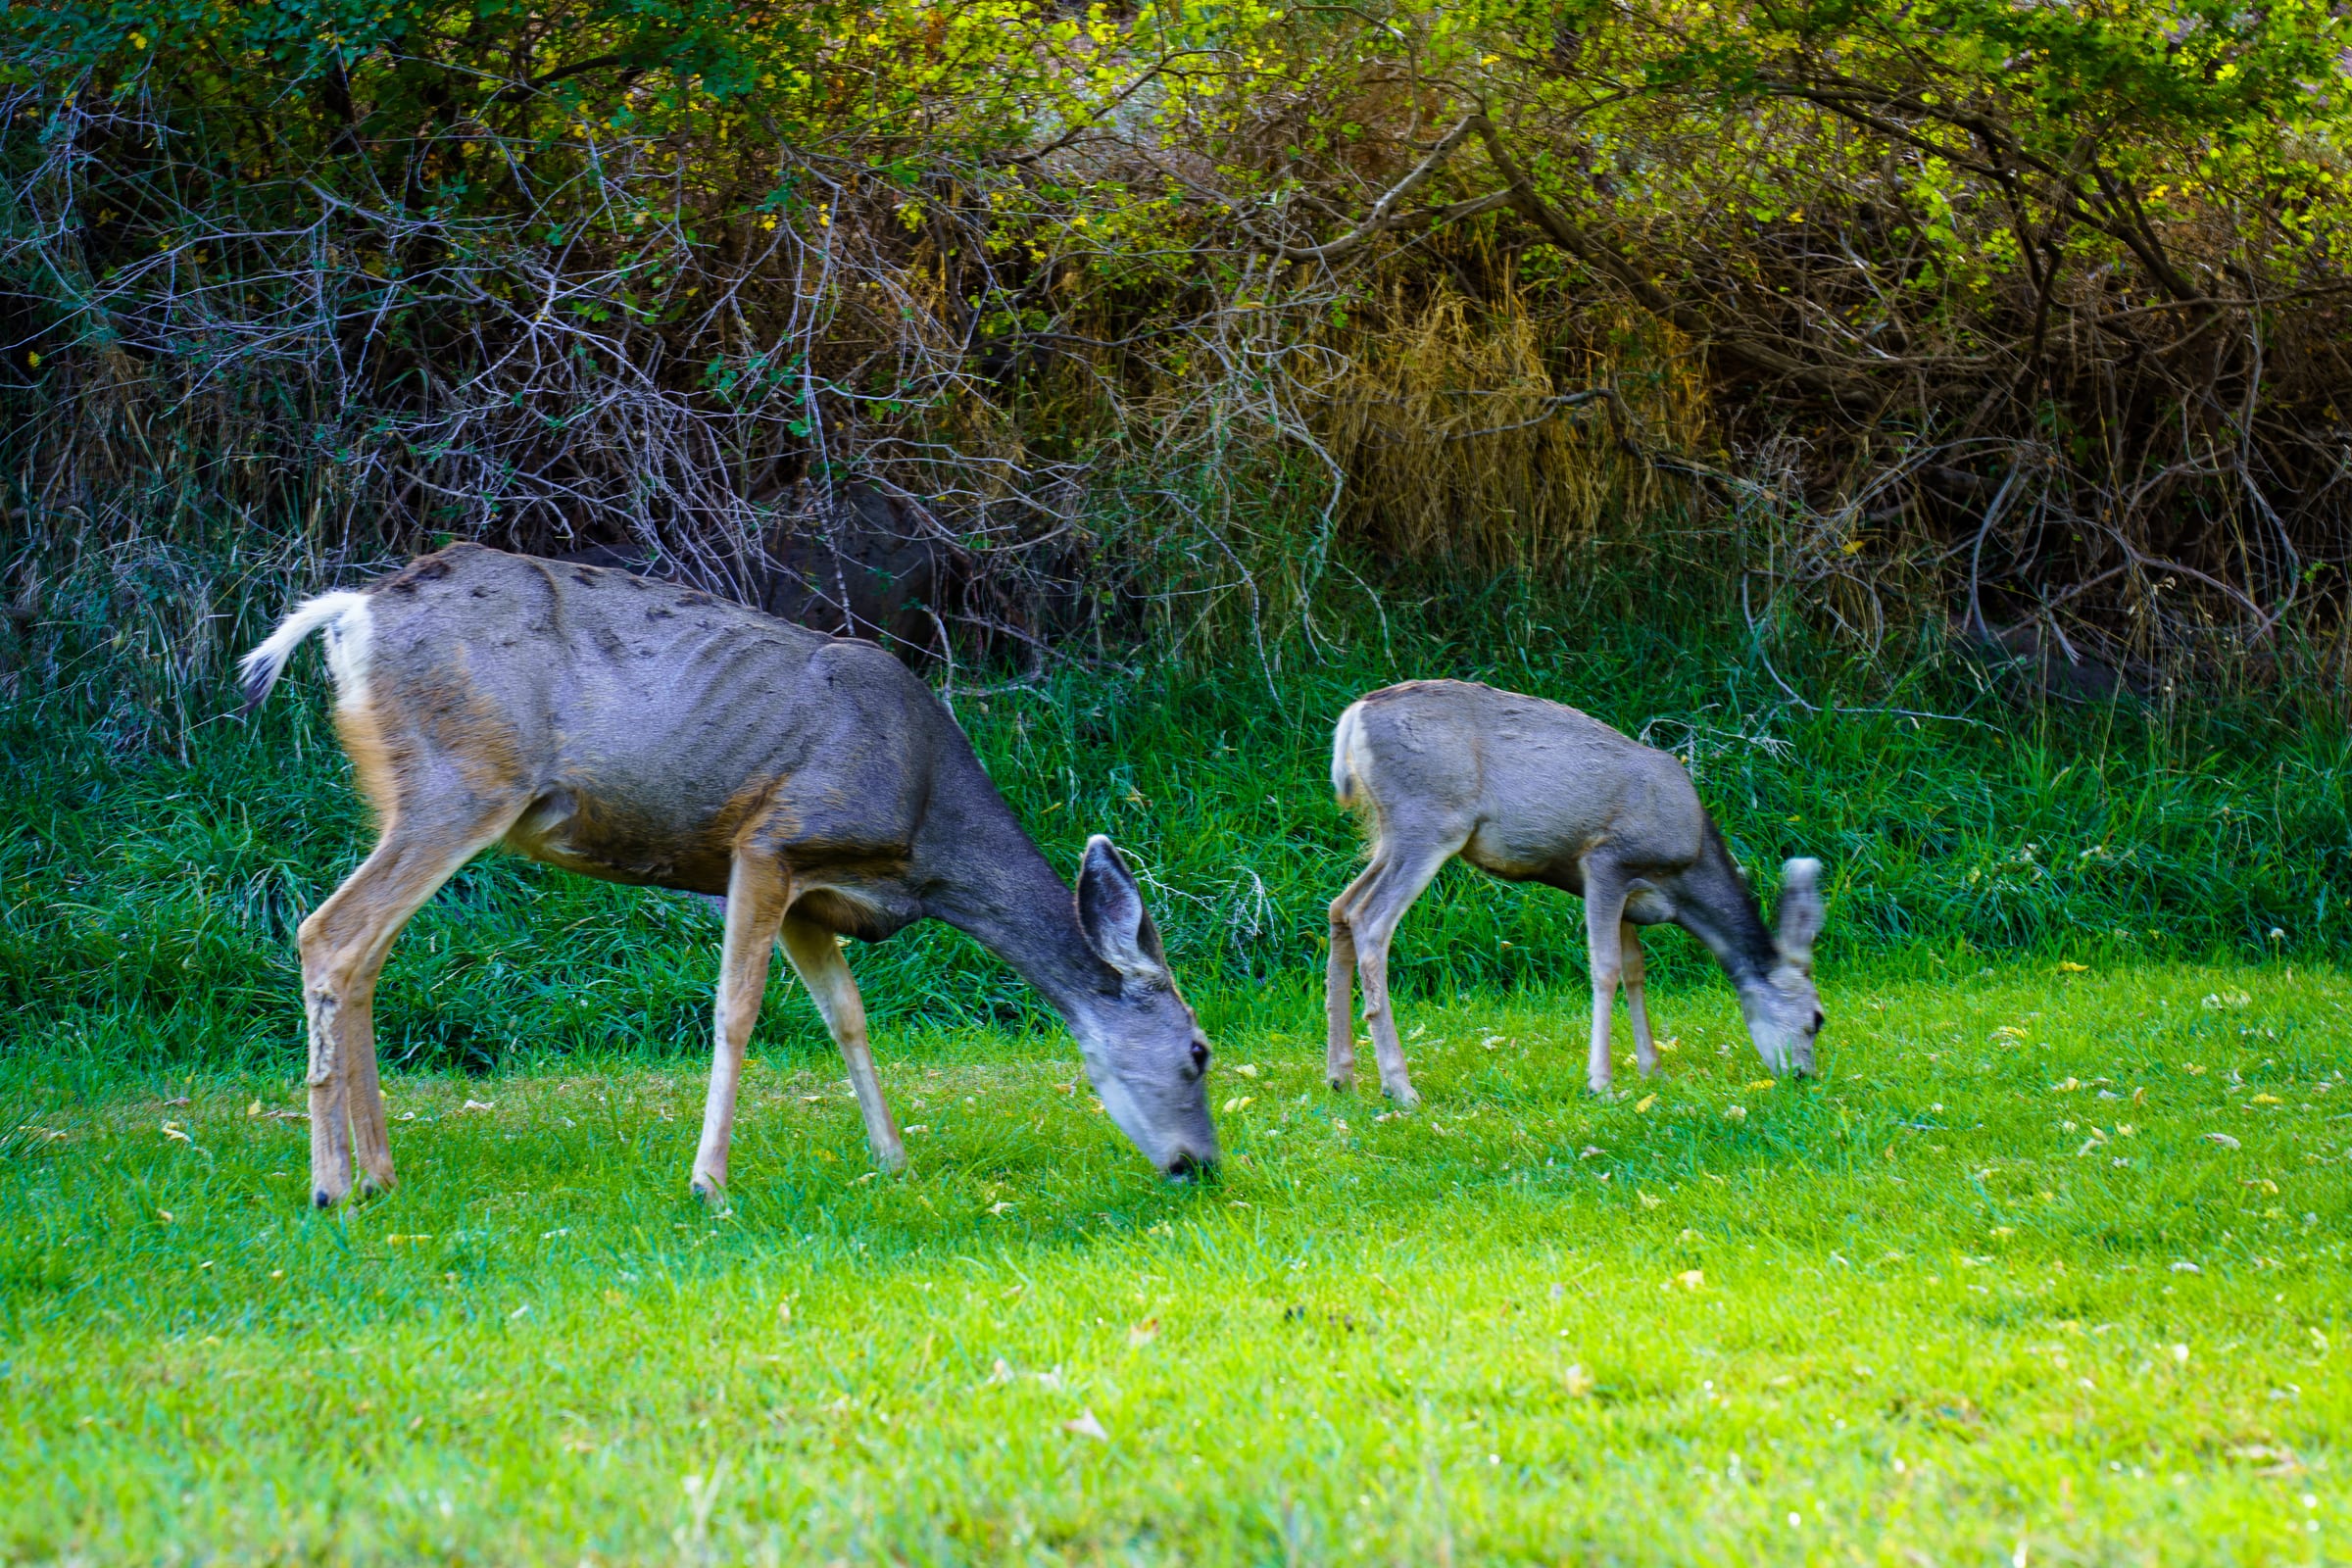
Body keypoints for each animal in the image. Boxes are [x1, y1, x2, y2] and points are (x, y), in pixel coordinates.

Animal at [237, 543, 1218, 1209]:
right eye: (1201, 1051)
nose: (1204, 1166)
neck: (924, 839)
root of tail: (350, 614)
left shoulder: (813, 894)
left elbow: (848, 1017)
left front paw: (893, 1160)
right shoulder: (770, 839)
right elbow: (736, 1010)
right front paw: (708, 1180)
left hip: (402, 795)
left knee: (364, 954)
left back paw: (380, 1174)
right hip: (464, 781)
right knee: (329, 932)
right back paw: (331, 1186)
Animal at [1324, 680, 1826, 1107]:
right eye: (1817, 1020)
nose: (1804, 1077)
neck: (1686, 877)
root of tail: (1353, 716)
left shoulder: (1628, 898)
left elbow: (1635, 971)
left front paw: (1653, 1071)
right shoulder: (1608, 860)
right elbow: (1605, 969)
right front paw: (1601, 1083)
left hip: (1390, 832)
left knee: (1340, 907)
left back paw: (1341, 1077)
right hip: (1430, 820)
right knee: (1370, 919)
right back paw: (1400, 1087)